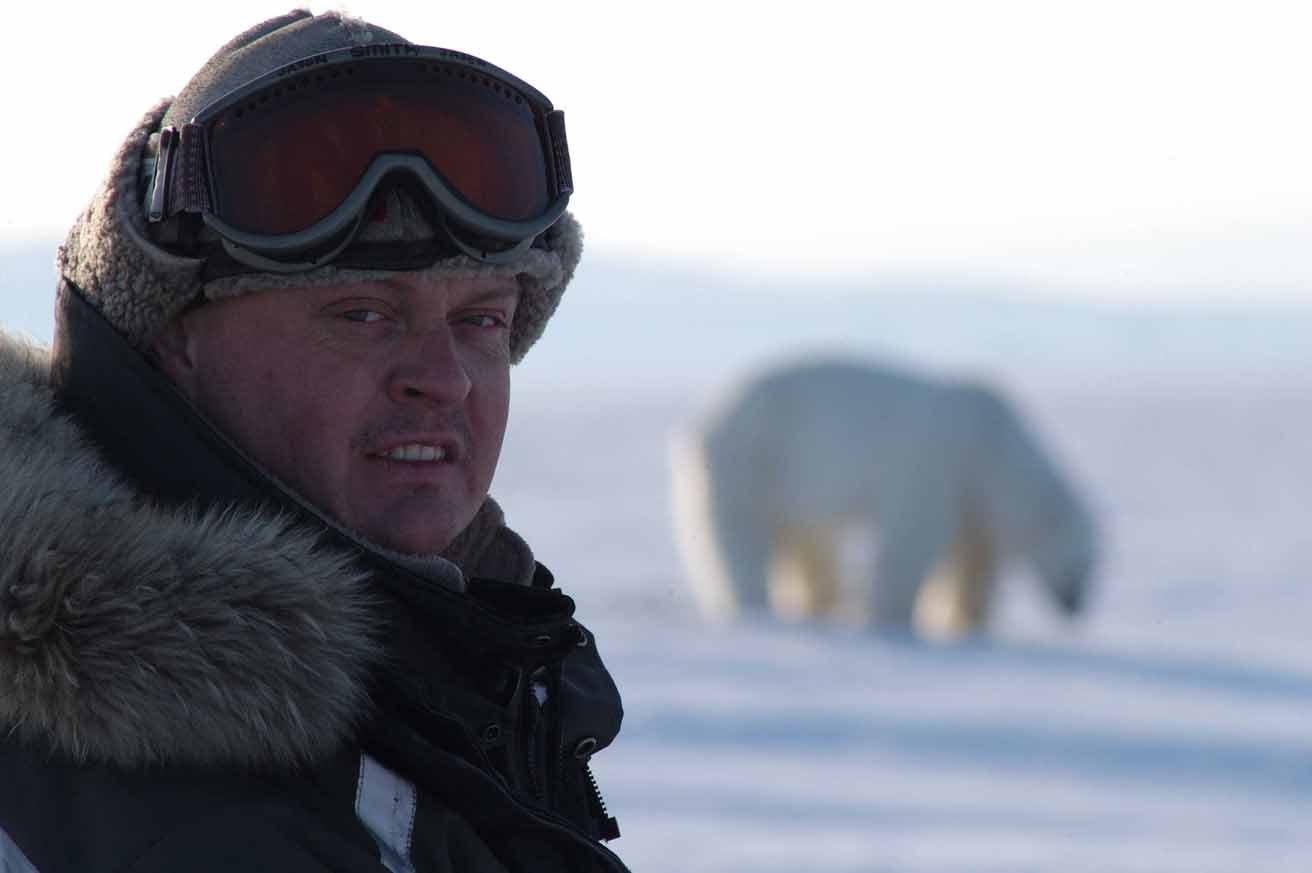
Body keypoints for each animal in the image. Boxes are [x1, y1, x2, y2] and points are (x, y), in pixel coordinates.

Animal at [666, 357, 1096, 638]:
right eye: (1080, 562)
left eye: (1097, 564)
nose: (1078, 605)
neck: (995, 442)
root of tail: (697, 423)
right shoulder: (937, 464)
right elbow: (910, 541)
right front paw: (891, 618)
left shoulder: (974, 500)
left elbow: (972, 562)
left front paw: (965, 622)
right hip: (750, 460)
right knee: (738, 540)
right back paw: (756, 606)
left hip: (783, 485)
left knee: (807, 544)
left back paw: (819, 606)